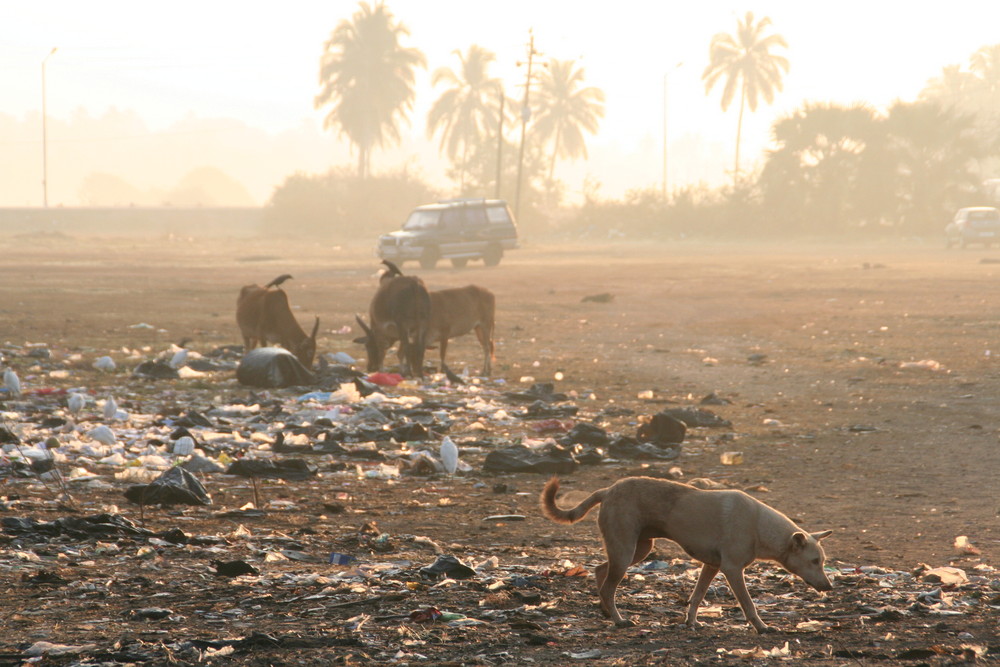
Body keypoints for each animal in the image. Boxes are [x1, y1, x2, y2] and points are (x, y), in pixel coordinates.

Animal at [544, 478, 832, 636]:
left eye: (822, 562)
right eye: (814, 561)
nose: (829, 587)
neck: (759, 526)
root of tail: (607, 490)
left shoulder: (711, 566)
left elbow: (697, 597)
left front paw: (691, 622)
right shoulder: (732, 570)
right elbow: (748, 605)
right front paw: (761, 627)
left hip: (637, 550)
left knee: (601, 572)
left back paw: (605, 611)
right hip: (626, 551)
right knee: (607, 587)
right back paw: (618, 620)